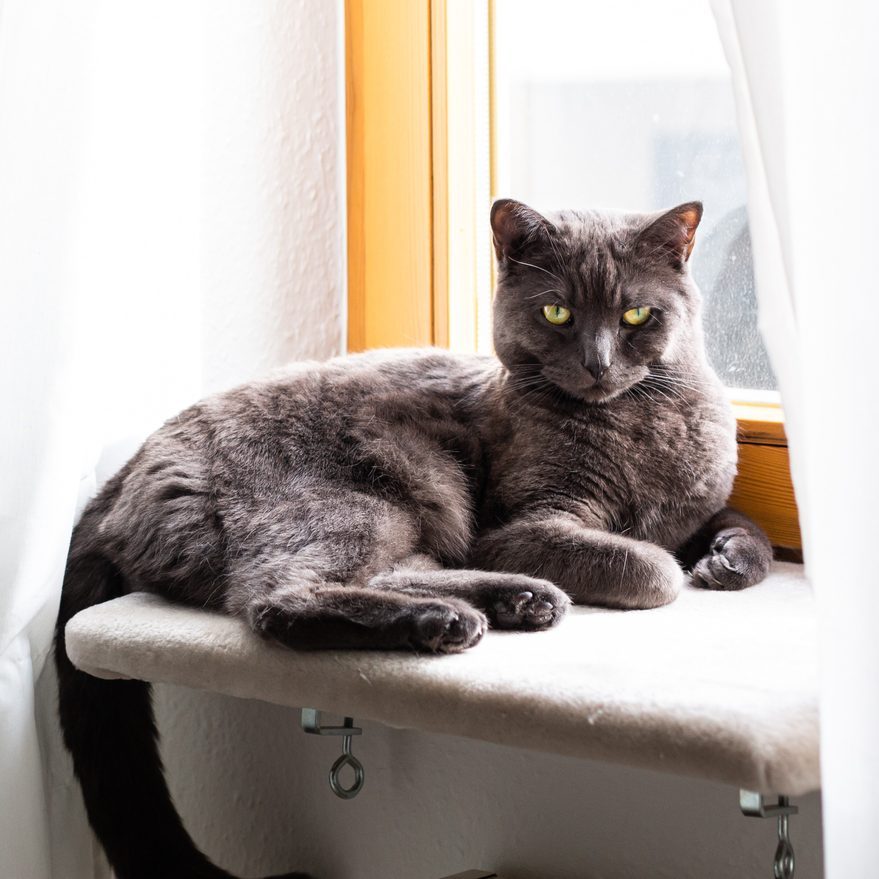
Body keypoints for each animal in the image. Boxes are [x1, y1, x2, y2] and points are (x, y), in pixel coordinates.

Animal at [55, 199, 768, 879]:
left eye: (637, 314)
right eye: (558, 312)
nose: (598, 364)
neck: (637, 423)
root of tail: (126, 472)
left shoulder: (692, 506)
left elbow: (737, 522)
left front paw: (728, 560)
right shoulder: (522, 525)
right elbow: (652, 569)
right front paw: (672, 569)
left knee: (383, 574)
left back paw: (516, 603)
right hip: (360, 504)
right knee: (278, 598)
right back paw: (446, 620)